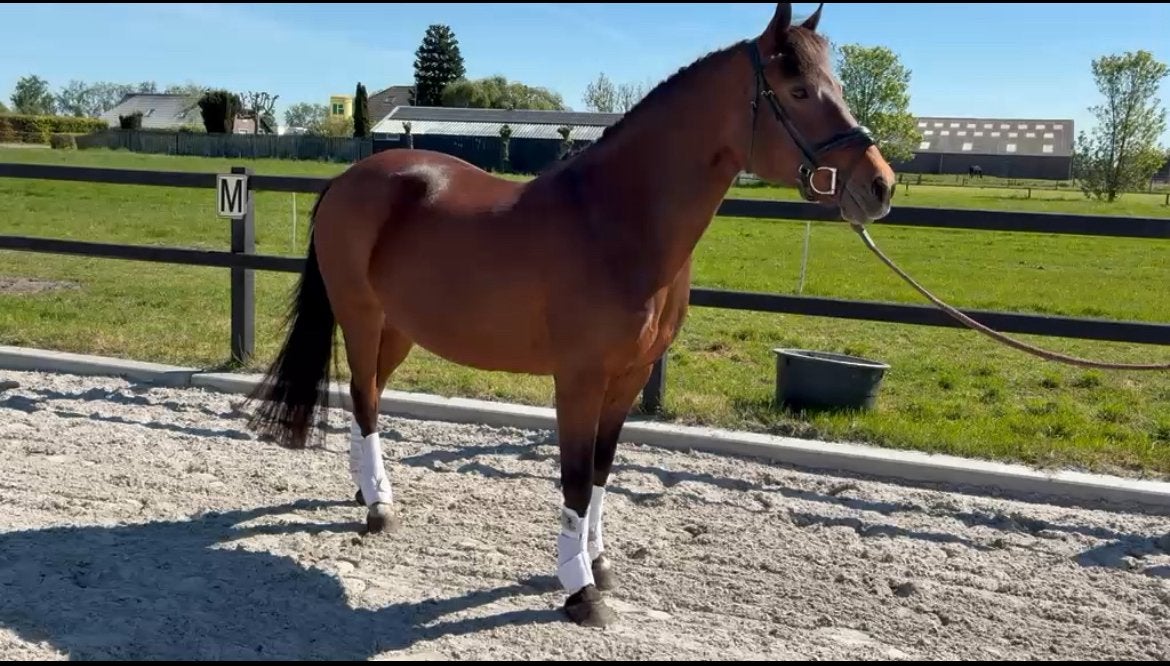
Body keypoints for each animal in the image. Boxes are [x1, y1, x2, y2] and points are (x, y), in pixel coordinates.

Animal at [245, 2, 896, 628]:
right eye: (799, 91)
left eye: (836, 83)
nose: (880, 186)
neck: (617, 219)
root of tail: (348, 179)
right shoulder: (579, 379)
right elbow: (577, 478)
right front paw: (579, 589)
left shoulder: (629, 376)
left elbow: (603, 471)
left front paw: (599, 564)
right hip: (361, 314)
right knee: (363, 397)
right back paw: (379, 506)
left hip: (400, 328)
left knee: (372, 396)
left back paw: (367, 493)